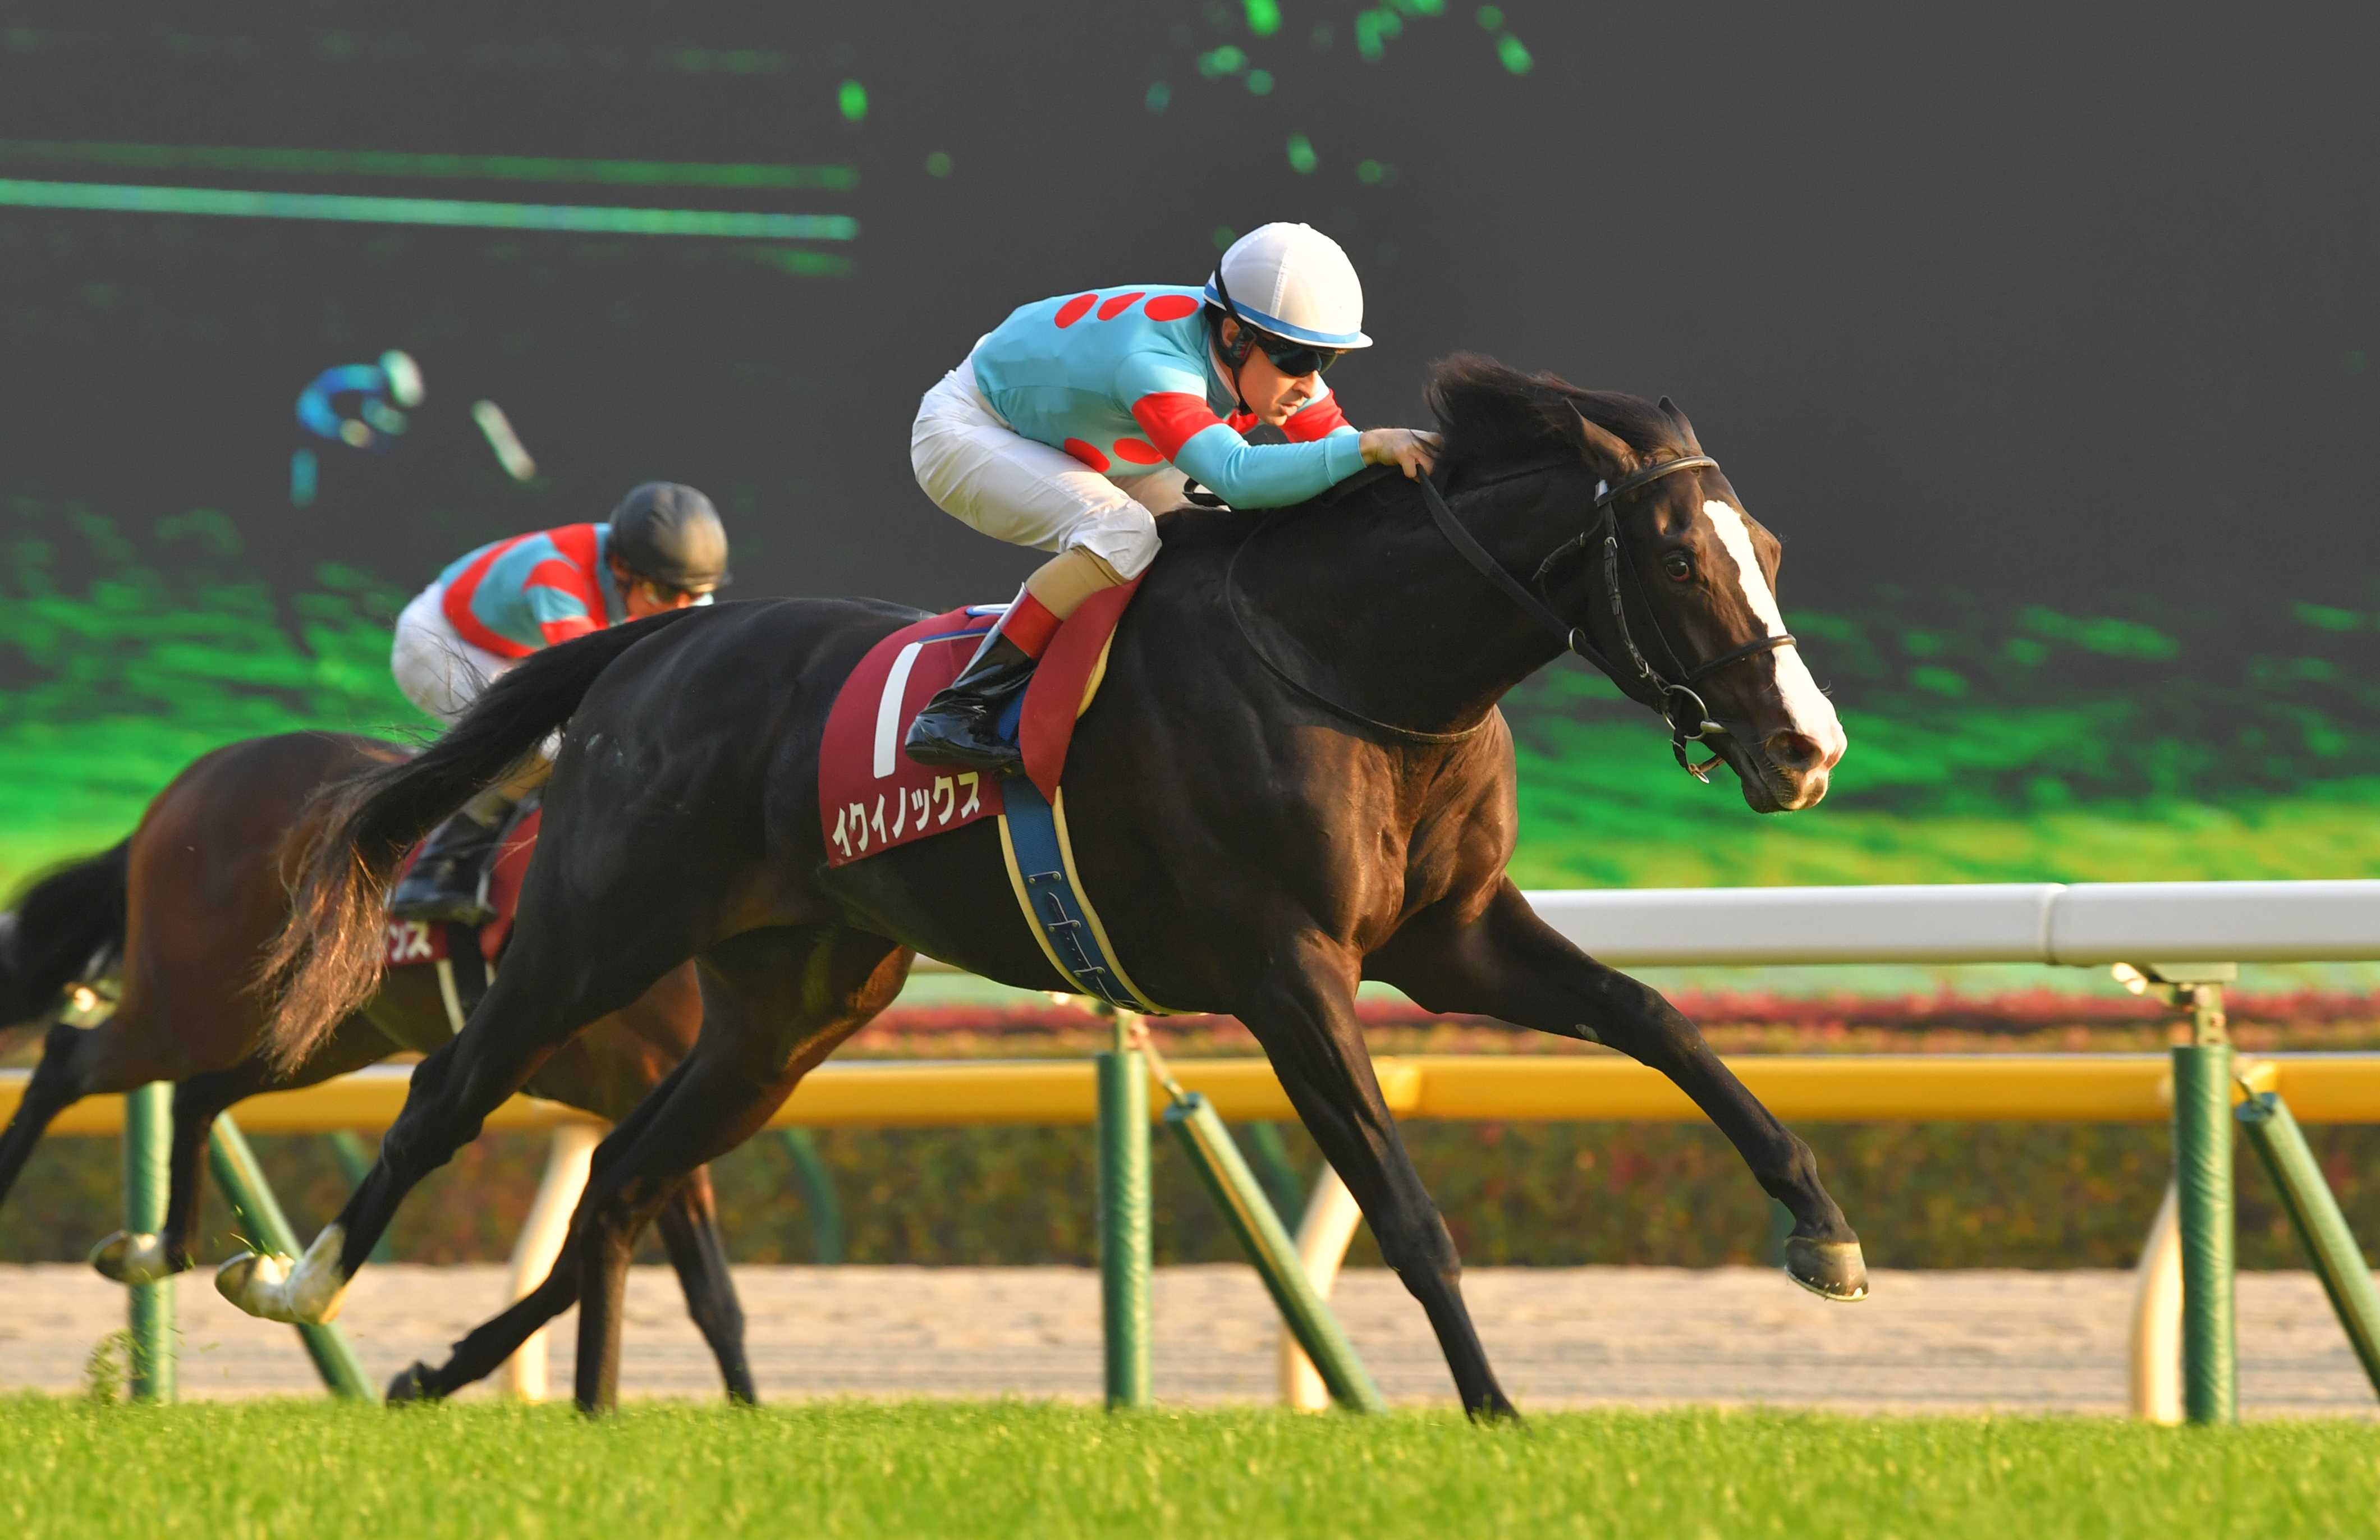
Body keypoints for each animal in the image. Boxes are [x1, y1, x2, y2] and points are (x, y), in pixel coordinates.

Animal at [0, 731, 756, 1403]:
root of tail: (194, 778)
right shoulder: (650, 1073)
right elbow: (704, 1286)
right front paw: (744, 1407)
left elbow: (585, 1259)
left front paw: (430, 1376)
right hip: (187, 1010)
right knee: (67, 1058)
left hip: (319, 1031)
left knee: (194, 1094)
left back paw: (161, 1249)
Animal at [236, 355, 1862, 1415]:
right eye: (1674, 556)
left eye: (1774, 549)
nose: (1806, 748)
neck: (1343, 663)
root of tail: (659, 643)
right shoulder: (1287, 966)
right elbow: (1401, 1206)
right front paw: (1492, 1417)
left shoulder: (1448, 936)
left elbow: (1657, 1022)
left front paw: (1819, 1229)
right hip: (594, 931)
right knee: (451, 1099)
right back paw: (298, 1287)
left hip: (788, 1007)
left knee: (630, 1178)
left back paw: (444, 1370)